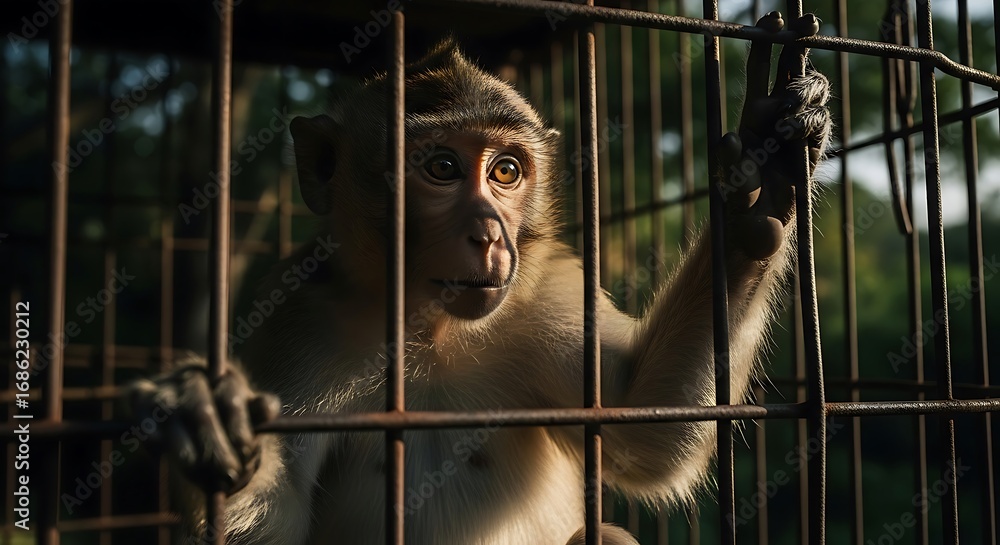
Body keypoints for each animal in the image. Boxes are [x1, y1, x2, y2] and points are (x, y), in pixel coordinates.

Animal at [128, 11, 831, 545]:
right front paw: (209, 418)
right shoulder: (302, 322)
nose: (490, 233)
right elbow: (274, 526)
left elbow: (644, 429)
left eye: (506, 172)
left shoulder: (547, 296)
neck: (430, 330)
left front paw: (757, 188)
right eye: (441, 167)